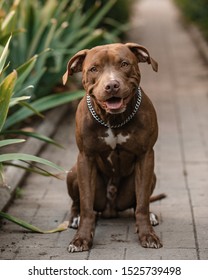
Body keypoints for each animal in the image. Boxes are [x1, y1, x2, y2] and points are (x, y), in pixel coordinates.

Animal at [62, 42, 163, 253]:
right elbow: (86, 206)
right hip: (73, 173)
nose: (112, 85)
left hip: (151, 176)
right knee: (77, 202)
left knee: (138, 202)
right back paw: (74, 218)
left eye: (124, 64)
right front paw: (81, 238)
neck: (114, 120)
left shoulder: (146, 156)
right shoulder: (85, 158)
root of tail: (111, 209)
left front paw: (147, 234)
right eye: (94, 69)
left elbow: (142, 203)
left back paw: (150, 216)